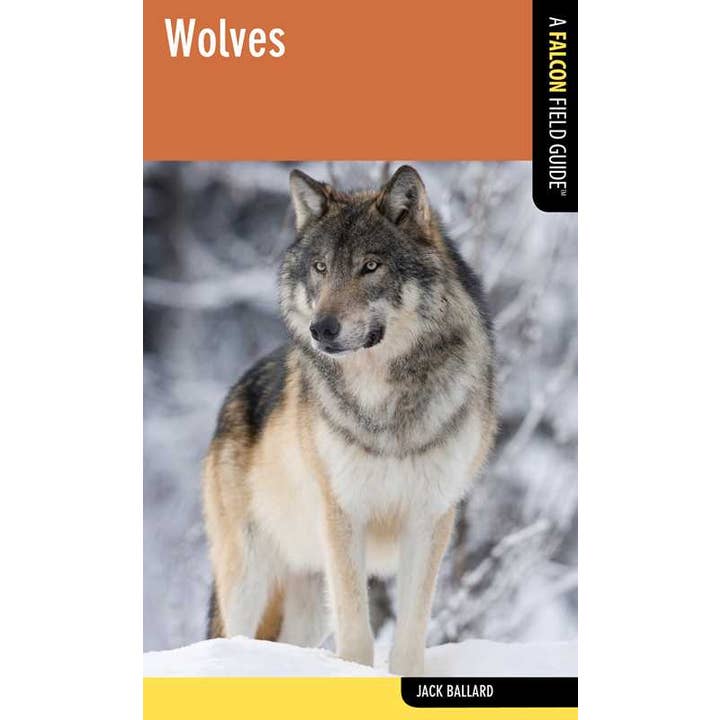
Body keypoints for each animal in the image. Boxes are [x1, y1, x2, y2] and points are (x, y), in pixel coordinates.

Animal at [202, 165, 497, 675]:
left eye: (370, 266)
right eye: (321, 268)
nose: (322, 329)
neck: (386, 402)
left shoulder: (429, 519)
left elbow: (410, 632)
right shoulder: (344, 515)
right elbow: (357, 631)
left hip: (304, 599)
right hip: (248, 576)